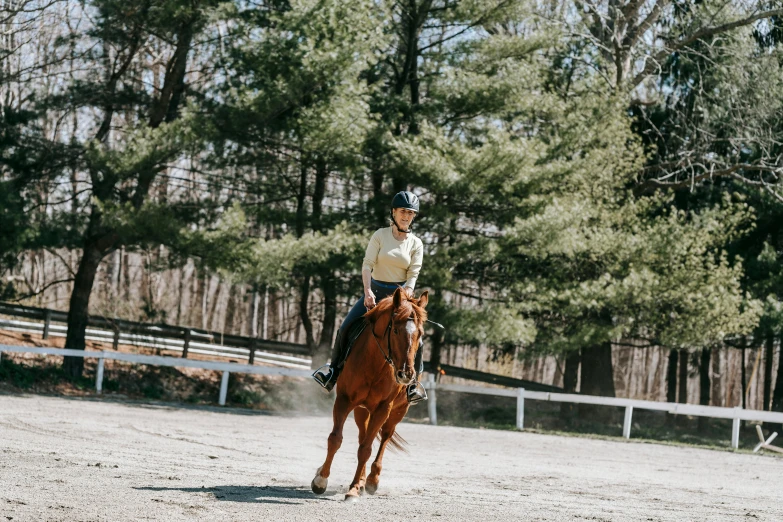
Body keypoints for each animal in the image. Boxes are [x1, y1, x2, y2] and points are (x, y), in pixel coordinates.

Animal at [310, 284, 428, 500]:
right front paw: (321, 479)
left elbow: (366, 449)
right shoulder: (344, 400)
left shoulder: (383, 408)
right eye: (395, 330)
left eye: (420, 334)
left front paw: (354, 488)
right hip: (362, 409)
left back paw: (372, 480)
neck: (375, 362)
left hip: (398, 411)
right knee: (363, 435)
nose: (406, 374)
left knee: (384, 437)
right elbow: (335, 439)